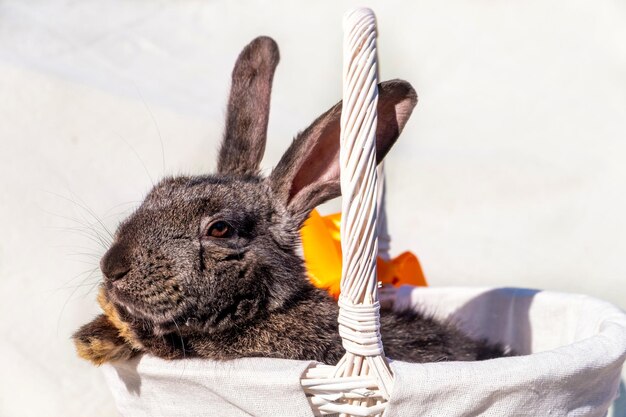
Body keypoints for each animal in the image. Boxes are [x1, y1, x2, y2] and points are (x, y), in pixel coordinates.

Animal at [72, 37, 508, 366]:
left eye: (220, 229)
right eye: (155, 193)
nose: (112, 267)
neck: (273, 308)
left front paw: (107, 326)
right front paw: (94, 335)